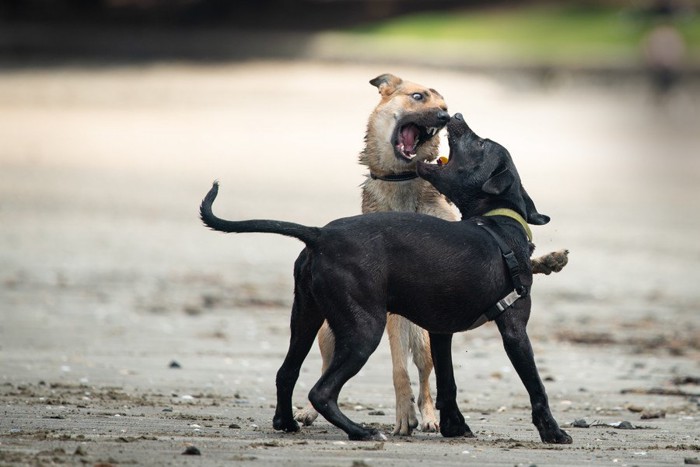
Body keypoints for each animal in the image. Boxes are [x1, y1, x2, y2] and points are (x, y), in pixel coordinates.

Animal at [200, 114, 572, 446]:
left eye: (480, 144)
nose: (454, 115)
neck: (500, 222)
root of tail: (320, 234)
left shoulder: (440, 332)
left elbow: (447, 383)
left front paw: (454, 425)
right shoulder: (514, 329)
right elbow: (536, 386)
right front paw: (553, 432)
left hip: (306, 317)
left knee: (286, 373)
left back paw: (287, 422)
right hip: (363, 329)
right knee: (321, 392)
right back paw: (361, 432)